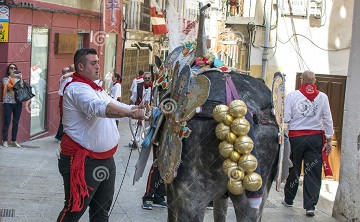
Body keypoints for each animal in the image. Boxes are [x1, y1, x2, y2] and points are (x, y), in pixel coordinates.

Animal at [133, 2, 286, 222]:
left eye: (156, 87)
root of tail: (248, 108)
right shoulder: (222, 196)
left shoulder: (173, 187)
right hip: (254, 199)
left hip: (193, 196)